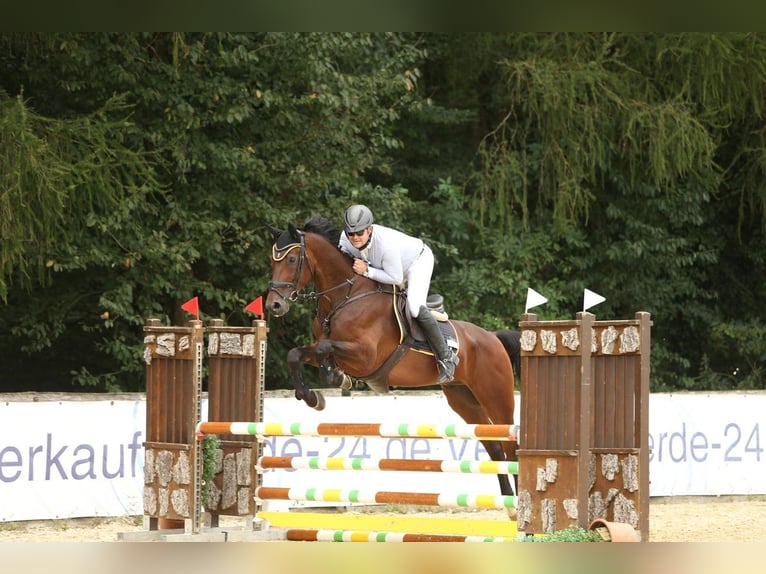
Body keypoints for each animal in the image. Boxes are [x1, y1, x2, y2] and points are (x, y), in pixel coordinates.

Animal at [266, 218, 520, 502]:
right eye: (273, 261)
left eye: (291, 260)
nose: (273, 306)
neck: (344, 297)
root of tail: (493, 338)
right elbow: (296, 354)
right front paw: (313, 396)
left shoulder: (365, 356)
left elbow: (324, 348)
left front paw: (334, 377)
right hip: (464, 399)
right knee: (495, 448)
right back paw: (508, 501)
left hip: (496, 396)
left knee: (512, 447)